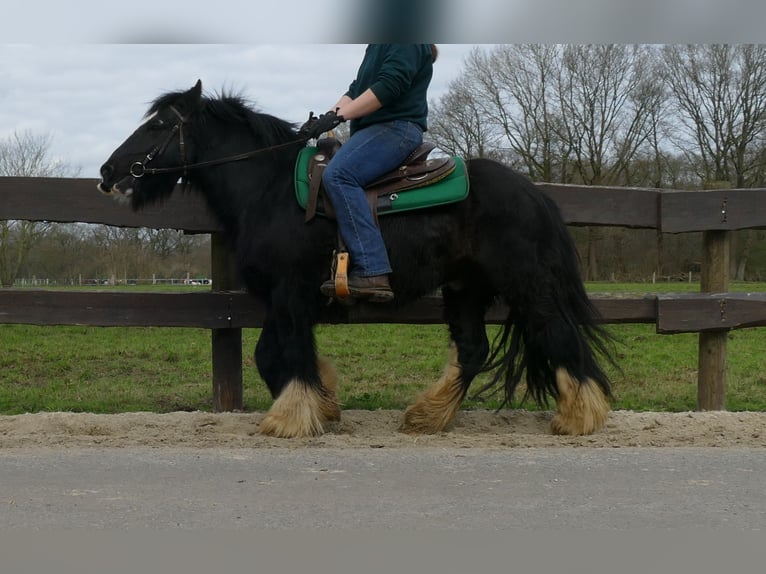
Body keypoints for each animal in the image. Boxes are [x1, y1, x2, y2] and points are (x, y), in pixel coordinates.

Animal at [99, 81, 616, 438]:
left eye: (158, 125)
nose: (108, 171)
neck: (269, 190)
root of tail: (534, 194)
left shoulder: (290, 292)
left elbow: (282, 353)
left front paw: (292, 417)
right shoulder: (285, 300)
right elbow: (273, 355)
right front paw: (323, 403)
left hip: (528, 284)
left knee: (558, 334)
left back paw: (579, 417)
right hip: (464, 289)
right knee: (472, 351)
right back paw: (427, 415)